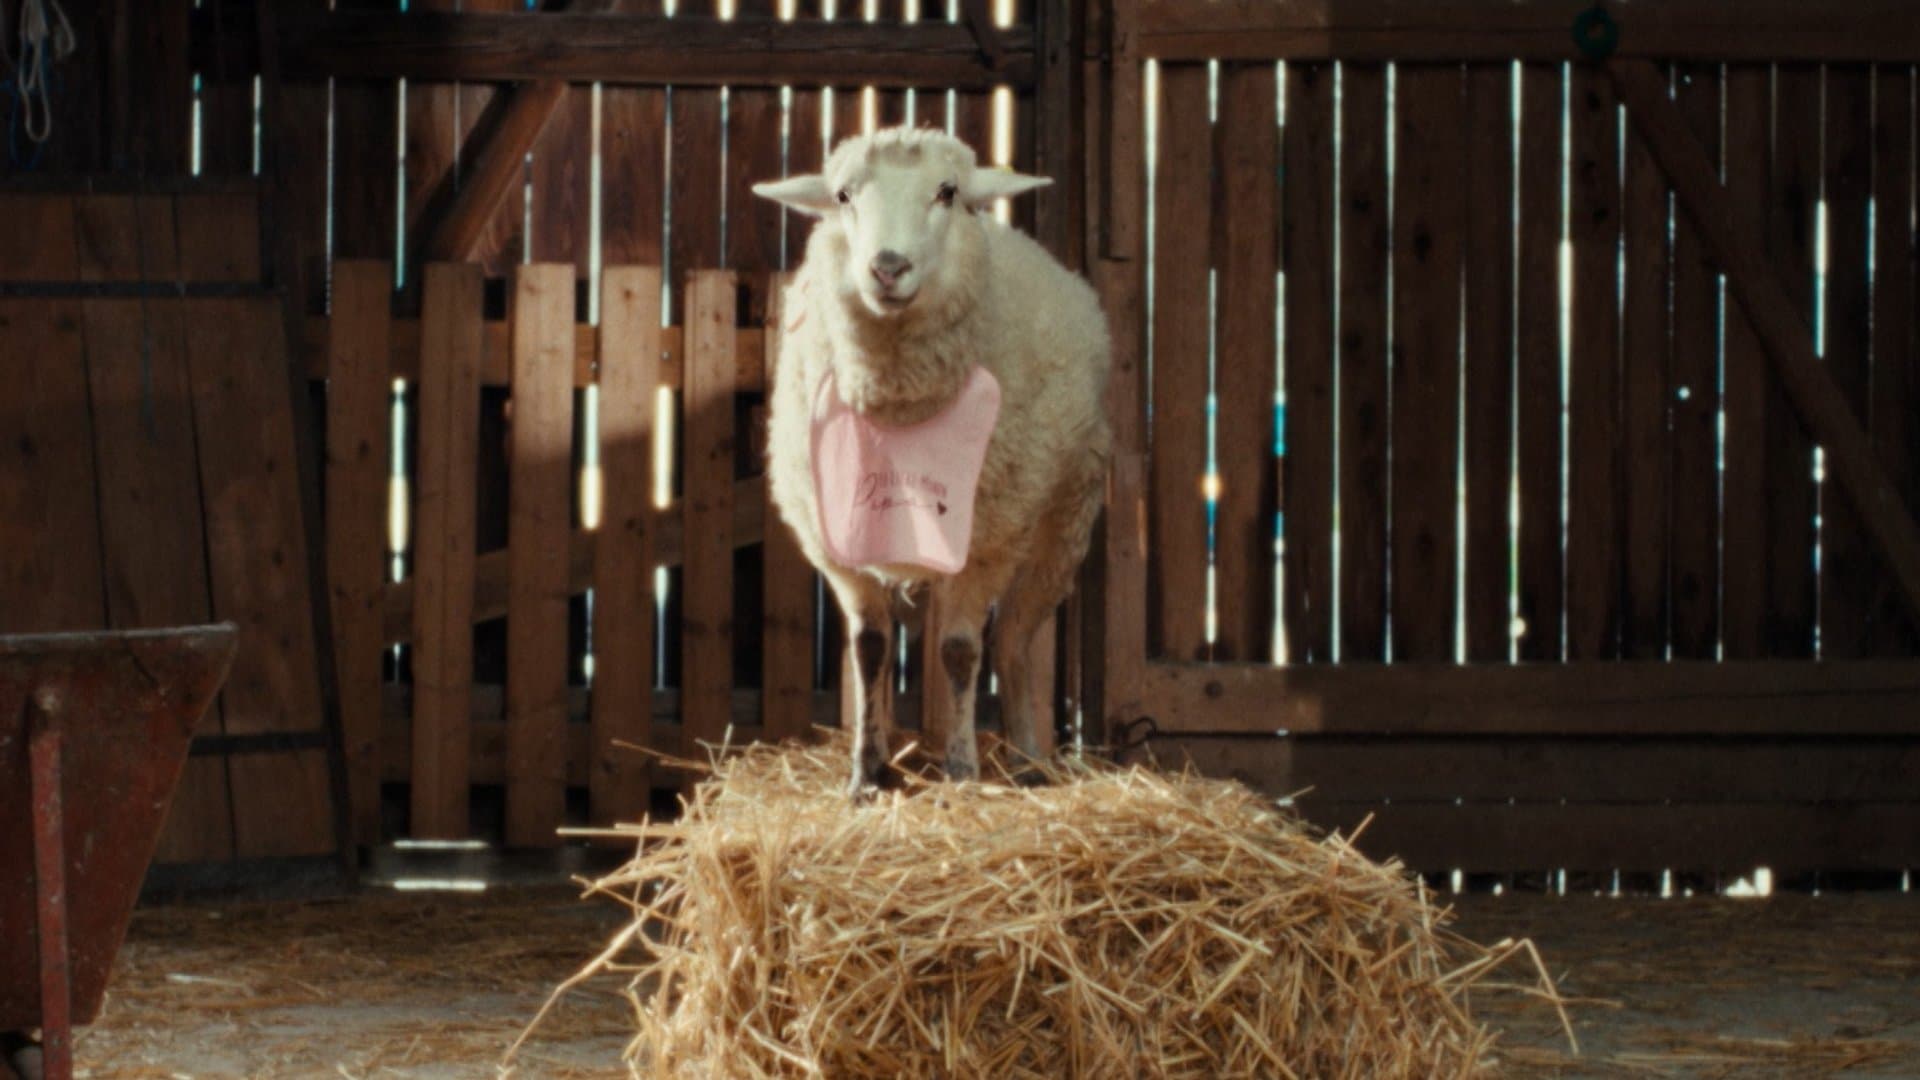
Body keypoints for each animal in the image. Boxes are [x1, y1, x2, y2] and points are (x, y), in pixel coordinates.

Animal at [754, 126, 1111, 796]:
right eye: (843, 195)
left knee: (1014, 641)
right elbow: (869, 647)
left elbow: (962, 651)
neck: (899, 405)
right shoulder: (835, 541)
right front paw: (865, 773)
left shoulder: (991, 536)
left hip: (1063, 519)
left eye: (947, 192)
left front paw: (963, 771)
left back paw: (1026, 758)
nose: (888, 266)